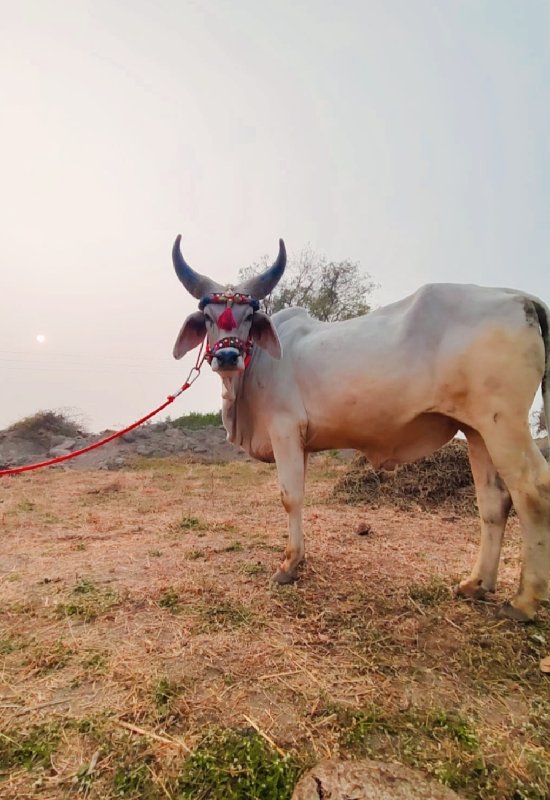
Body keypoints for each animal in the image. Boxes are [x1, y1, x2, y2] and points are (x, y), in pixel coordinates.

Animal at [170, 238, 548, 624]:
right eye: (208, 317)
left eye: (248, 316)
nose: (227, 357)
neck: (256, 366)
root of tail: (521, 298)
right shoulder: (302, 443)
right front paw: (300, 557)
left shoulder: (284, 430)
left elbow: (291, 497)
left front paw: (289, 565)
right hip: (478, 430)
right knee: (494, 502)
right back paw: (476, 584)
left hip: (506, 424)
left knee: (533, 492)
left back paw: (524, 601)